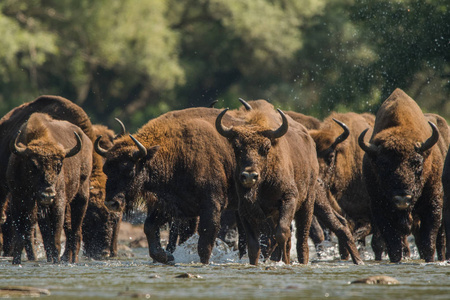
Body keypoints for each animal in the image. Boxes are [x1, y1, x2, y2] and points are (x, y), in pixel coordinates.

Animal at [7, 112, 92, 262]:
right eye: (33, 165)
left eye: (59, 165)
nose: (48, 195)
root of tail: (87, 141)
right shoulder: (18, 200)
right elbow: (21, 237)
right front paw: (16, 261)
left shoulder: (58, 202)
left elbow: (55, 239)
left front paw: (56, 260)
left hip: (82, 195)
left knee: (76, 231)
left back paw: (72, 259)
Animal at [94, 106, 243, 264]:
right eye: (106, 169)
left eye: (129, 170)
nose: (111, 203)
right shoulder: (170, 206)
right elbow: (149, 227)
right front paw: (166, 256)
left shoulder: (212, 207)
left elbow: (205, 243)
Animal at [356, 88, 448, 262]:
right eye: (382, 164)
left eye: (417, 163)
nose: (402, 199)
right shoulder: (380, 209)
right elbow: (394, 246)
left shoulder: (433, 204)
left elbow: (428, 243)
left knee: (440, 241)